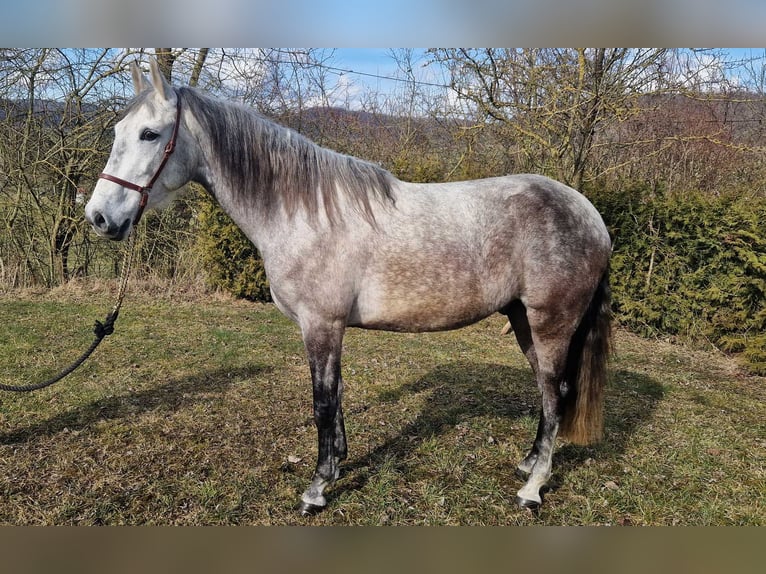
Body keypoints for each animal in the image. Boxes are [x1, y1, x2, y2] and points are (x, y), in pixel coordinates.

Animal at [85, 60, 612, 520]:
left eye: (150, 134)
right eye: (116, 132)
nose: (99, 218)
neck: (302, 211)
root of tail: (591, 216)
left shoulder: (321, 324)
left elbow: (322, 402)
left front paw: (316, 490)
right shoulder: (328, 327)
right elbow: (335, 397)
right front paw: (336, 464)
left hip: (550, 323)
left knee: (555, 393)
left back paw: (532, 489)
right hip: (523, 319)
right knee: (548, 393)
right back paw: (528, 463)